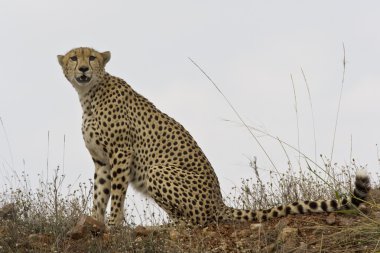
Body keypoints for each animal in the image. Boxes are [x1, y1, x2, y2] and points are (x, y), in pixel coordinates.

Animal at [57, 47, 372, 225]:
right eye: (74, 57)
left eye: (92, 57)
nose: (83, 68)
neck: (89, 93)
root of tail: (219, 201)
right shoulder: (101, 160)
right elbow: (100, 194)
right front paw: (95, 223)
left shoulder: (121, 153)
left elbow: (117, 193)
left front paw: (113, 225)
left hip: (158, 170)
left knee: (200, 220)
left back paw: (178, 225)